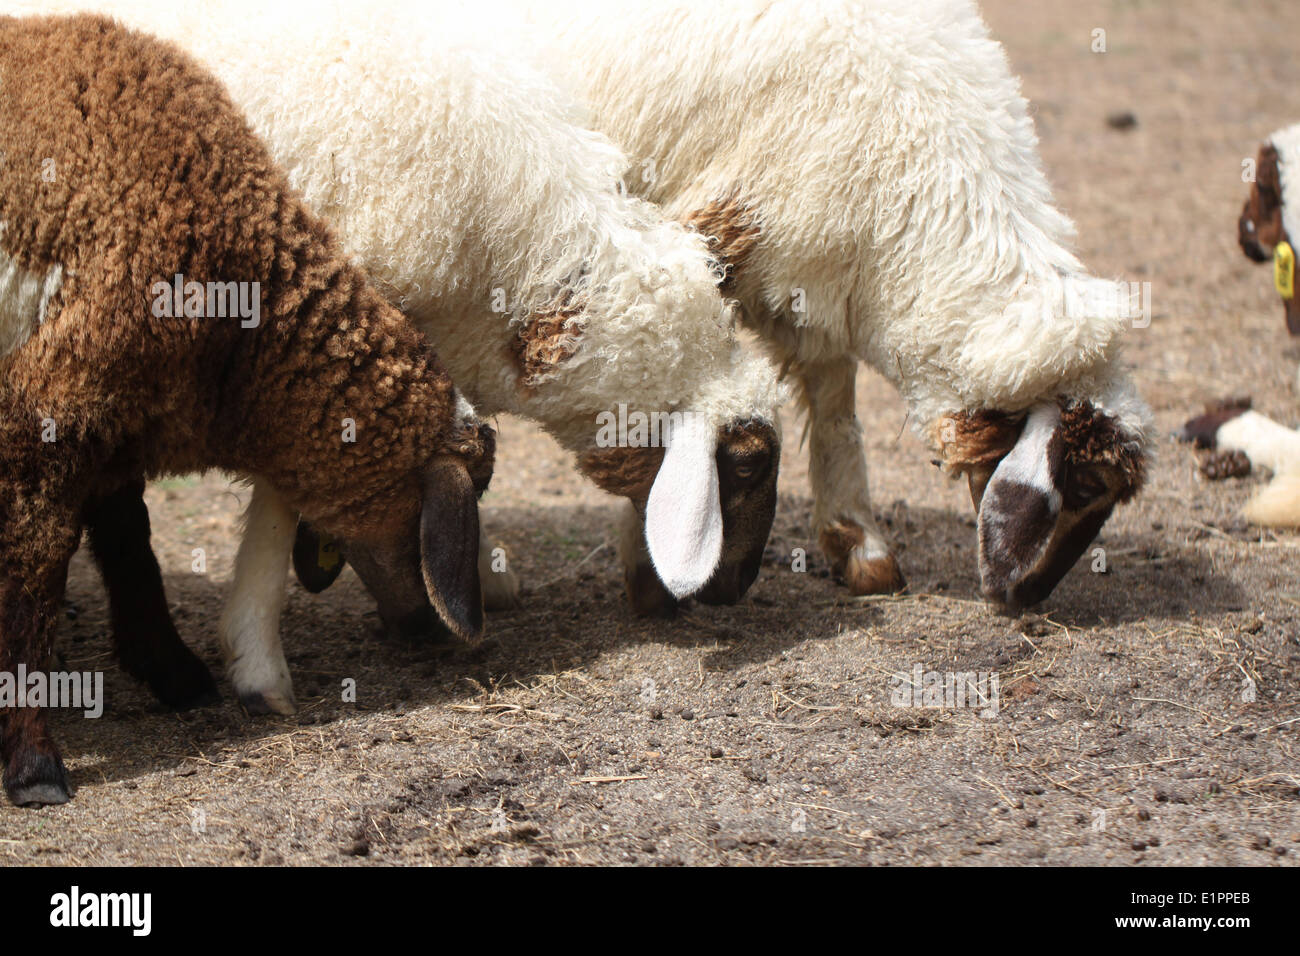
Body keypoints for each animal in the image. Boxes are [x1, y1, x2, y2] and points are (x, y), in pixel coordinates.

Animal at [0, 13, 491, 806]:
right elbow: (33, 582)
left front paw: (172, 671)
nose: (422, 627)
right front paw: (35, 766)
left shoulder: (107, 415)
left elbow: (130, 542)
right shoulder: (49, 410)